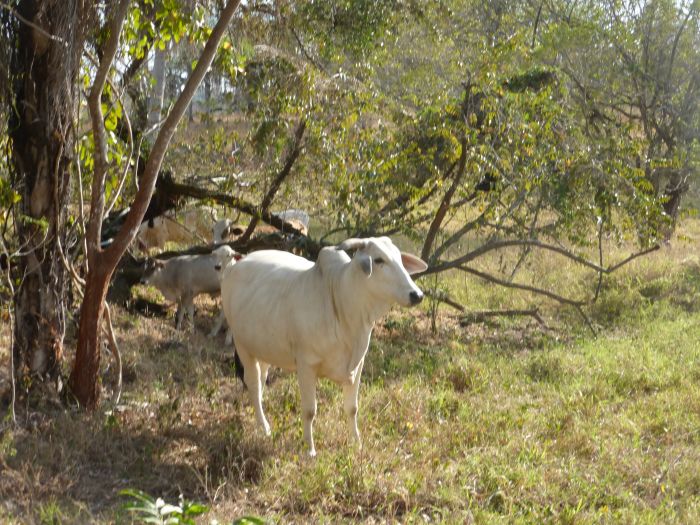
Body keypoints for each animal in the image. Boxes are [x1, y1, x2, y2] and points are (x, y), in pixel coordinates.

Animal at [220, 236, 426, 454]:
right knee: (253, 384)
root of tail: (238, 263)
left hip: (264, 348)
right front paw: (310, 449)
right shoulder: (306, 365)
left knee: (261, 381)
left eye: (400, 259)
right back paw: (264, 427)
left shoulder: (358, 365)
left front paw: (356, 442)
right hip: (243, 346)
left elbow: (352, 408)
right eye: (379, 260)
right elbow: (310, 411)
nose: (417, 295)